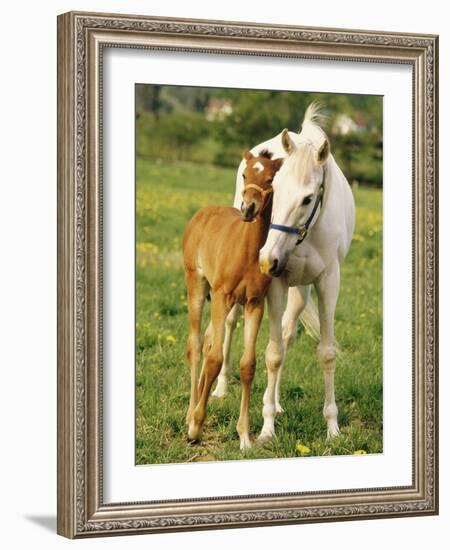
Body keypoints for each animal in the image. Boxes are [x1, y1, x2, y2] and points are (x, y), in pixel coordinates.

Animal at [182, 150, 282, 448]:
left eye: (270, 179)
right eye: (245, 174)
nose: (248, 208)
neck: (246, 251)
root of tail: (201, 214)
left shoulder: (254, 303)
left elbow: (248, 365)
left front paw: (245, 437)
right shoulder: (222, 296)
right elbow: (215, 359)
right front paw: (195, 427)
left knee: (207, 340)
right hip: (197, 285)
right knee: (196, 345)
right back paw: (190, 413)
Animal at [212, 103, 356, 446]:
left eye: (307, 198)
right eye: (275, 190)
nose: (268, 259)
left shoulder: (327, 282)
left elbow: (325, 353)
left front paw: (332, 428)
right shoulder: (275, 283)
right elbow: (273, 354)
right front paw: (265, 430)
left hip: (300, 290)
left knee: (288, 332)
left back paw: (275, 402)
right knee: (231, 322)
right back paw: (222, 387)